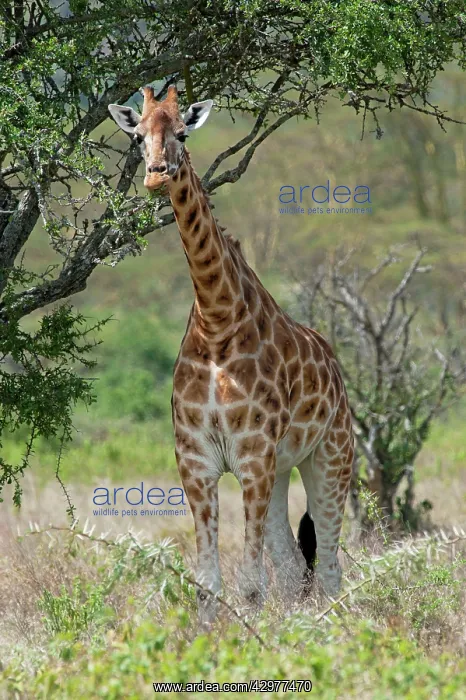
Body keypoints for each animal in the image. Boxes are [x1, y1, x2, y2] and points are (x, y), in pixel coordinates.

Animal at [109, 86, 354, 624]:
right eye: (137, 137)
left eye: (182, 133)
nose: (156, 174)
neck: (217, 321)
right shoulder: (197, 459)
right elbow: (208, 583)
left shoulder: (252, 454)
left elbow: (249, 586)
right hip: (283, 468)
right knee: (293, 567)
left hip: (331, 456)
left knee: (329, 567)